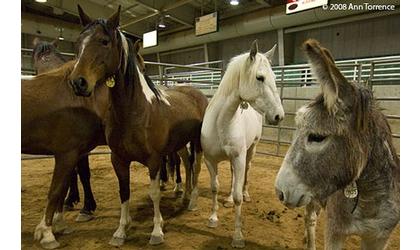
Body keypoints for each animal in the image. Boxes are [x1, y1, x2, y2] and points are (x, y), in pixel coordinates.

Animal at [67, 4, 210, 247]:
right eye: (78, 43)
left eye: (104, 41)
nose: (78, 82)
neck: (135, 112)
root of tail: (196, 92)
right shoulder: (119, 160)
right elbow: (124, 192)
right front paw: (120, 232)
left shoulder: (154, 160)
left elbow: (154, 193)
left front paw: (157, 232)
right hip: (180, 145)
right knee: (186, 163)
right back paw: (184, 194)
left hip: (197, 142)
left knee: (197, 167)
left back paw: (192, 201)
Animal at [201, 41, 286, 248]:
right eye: (260, 77)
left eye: (274, 77)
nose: (279, 116)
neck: (221, 123)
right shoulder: (210, 160)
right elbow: (214, 187)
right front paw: (213, 218)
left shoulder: (239, 157)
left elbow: (239, 196)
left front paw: (238, 236)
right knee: (233, 177)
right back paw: (228, 199)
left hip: (250, 152)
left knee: (246, 172)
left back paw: (245, 194)